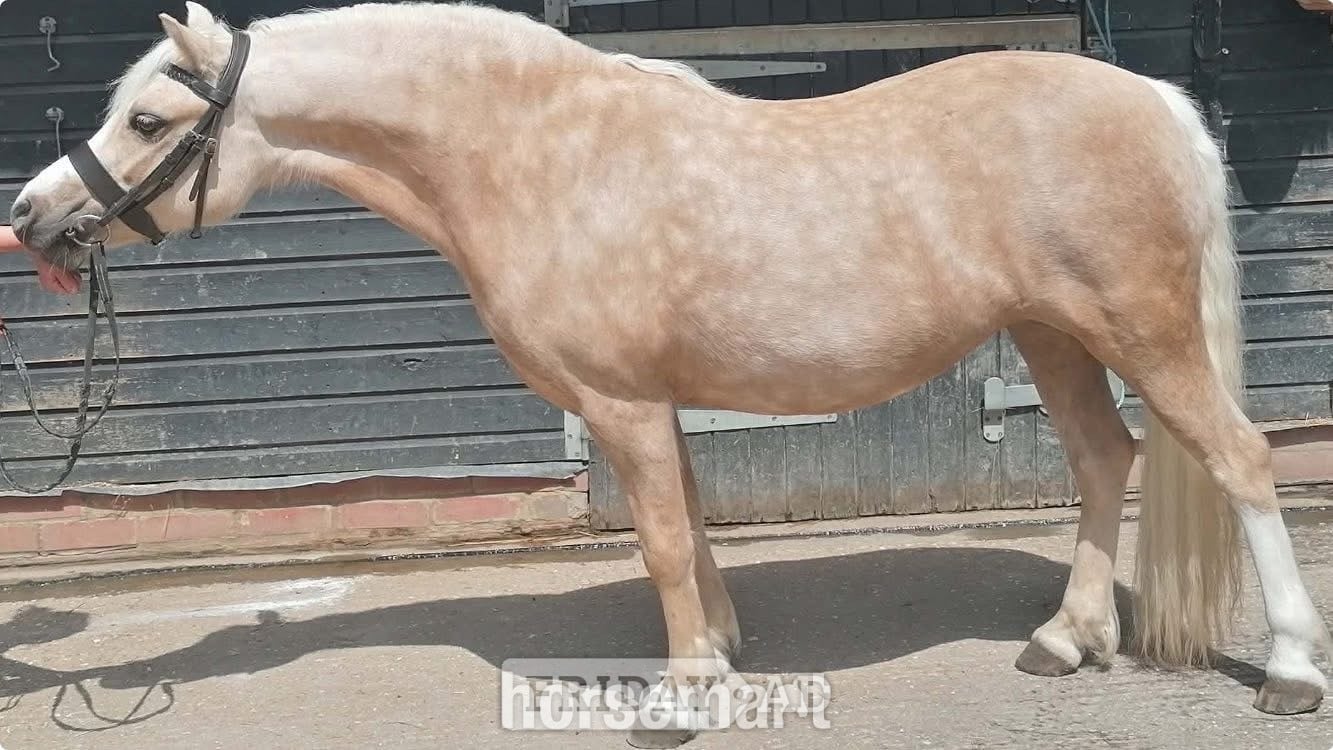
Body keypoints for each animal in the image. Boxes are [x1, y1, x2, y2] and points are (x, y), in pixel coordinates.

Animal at [10, 2, 1329, 745]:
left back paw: (1287, 670)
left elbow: (655, 544)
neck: (539, 157)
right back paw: (1065, 638)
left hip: (1140, 329)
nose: (31, 217)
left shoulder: (623, 401)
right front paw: (726, 651)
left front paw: (681, 698)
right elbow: (691, 525)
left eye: (146, 120)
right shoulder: (653, 403)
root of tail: (1150, 97)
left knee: (1238, 460)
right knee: (1106, 456)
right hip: (1055, 335)